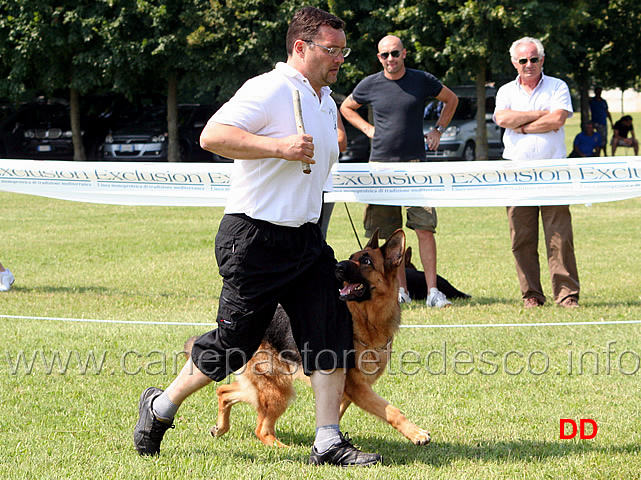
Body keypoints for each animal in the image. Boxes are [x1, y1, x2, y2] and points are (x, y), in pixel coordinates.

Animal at [182, 228, 428, 446]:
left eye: (366, 261)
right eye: (351, 258)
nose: (337, 266)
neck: (366, 320)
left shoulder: (349, 390)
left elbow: (334, 415)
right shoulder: (356, 387)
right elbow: (391, 410)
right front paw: (416, 433)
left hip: (267, 385)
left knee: (224, 391)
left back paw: (221, 427)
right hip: (280, 388)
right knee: (261, 429)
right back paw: (285, 449)